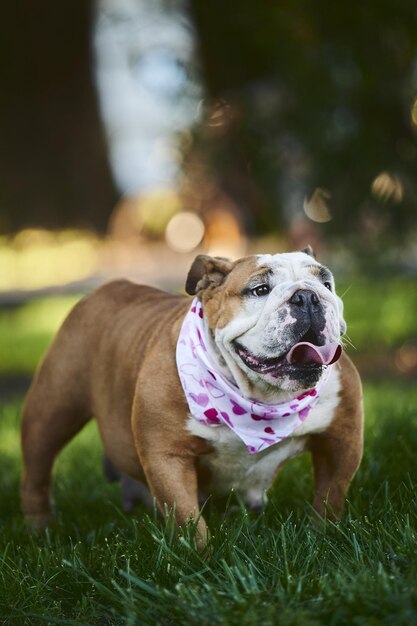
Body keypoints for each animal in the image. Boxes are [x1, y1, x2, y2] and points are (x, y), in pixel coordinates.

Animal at [21, 247, 362, 540]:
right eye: (259, 289)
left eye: (326, 283)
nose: (307, 296)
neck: (262, 401)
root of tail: (104, 290)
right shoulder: (167, 455)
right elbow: (186, 517)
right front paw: (200, 557)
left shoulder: (342, 440)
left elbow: (330, 495)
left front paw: (323, 535)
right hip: (52, 411)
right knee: (37, 470)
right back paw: (41, 527)